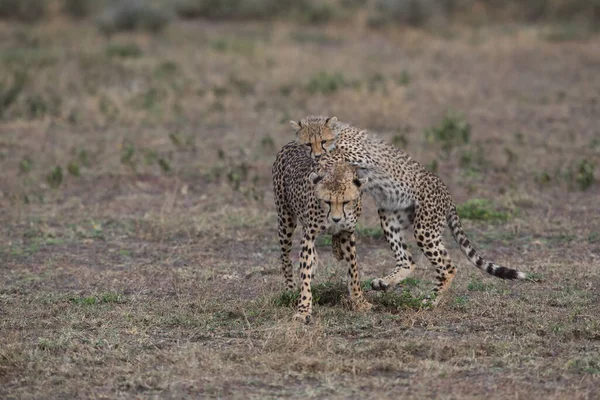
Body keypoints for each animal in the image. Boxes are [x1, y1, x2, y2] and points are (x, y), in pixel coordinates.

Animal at [274, 141, 372, 322]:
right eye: (327, 201)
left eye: (346, 202)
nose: (336, 219)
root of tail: (292, 143)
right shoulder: (309, 235)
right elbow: (305, 273)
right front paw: (303, 309)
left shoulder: (348, 233)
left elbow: (354, 270)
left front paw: (359, 301)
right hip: (285, 219)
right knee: (285, 257)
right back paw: (290, 289)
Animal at [290, 117, 528, 304]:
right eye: (307, 144)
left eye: (323, 141)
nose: (316, 155)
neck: (340, 133)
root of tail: (447, 193)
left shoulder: (361, 155)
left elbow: (337, 156)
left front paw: (322, 163)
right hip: (389, 216)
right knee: (408, 260)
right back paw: (384, 282)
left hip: (425, 228)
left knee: (448, 267)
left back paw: (430, 300)